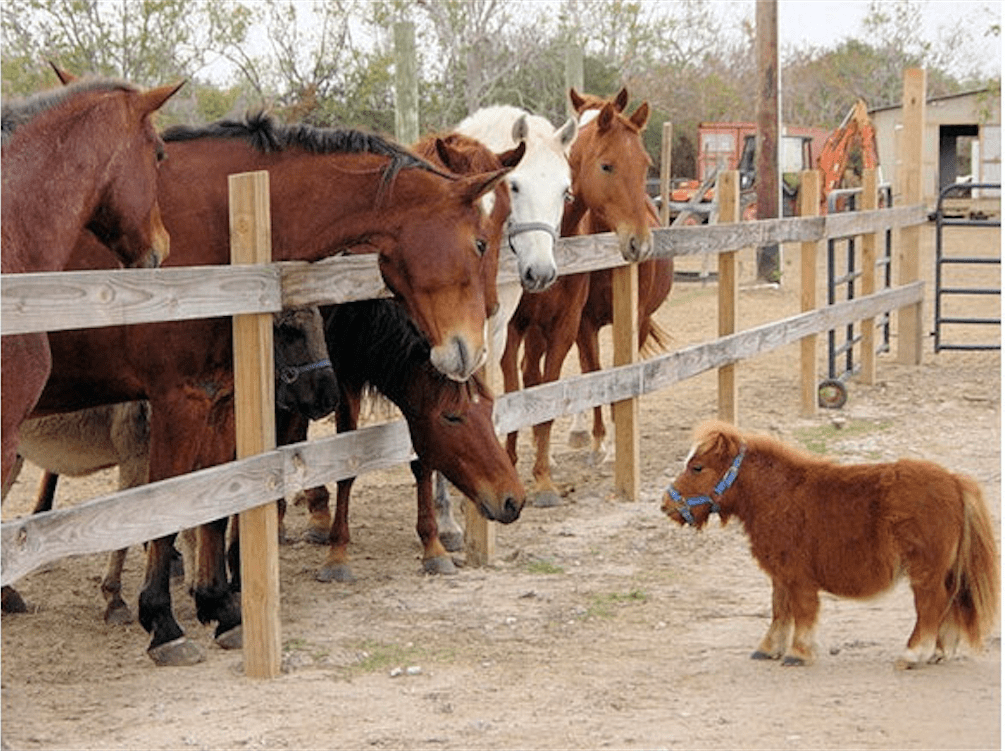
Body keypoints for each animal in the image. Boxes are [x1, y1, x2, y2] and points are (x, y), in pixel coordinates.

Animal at [2, 306, 337, 621]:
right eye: (290, 331)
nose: (328, 399)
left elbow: (192, 520)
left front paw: (196, 586)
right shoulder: (139, 461)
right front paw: (116, 599)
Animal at [275, 299, 525, 584]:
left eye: (489, 408)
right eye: (451, 416)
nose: (513, 500)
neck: (364, 314)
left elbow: (421, 465)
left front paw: (433, 547)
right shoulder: (342, 380)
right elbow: (347, 465)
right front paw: (337, 556)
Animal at [500, 87, 669, 507]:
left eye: (645, 164)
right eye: (607, 165)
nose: (640, 244)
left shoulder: (581, 323)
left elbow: (603, 379)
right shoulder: (532, 327)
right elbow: (523, 390)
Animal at [662, 420, 1001, 669]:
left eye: (697, 467)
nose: (666, 504)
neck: (776, 494)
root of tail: (954, 481)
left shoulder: (798, 577)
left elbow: (802, 611)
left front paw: (798, 653)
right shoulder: (781, 575)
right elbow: (779, 609)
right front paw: (769, 649)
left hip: (925, 573)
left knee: (931, 606)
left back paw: (913, 654)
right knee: (950, 604)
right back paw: (939, 651)